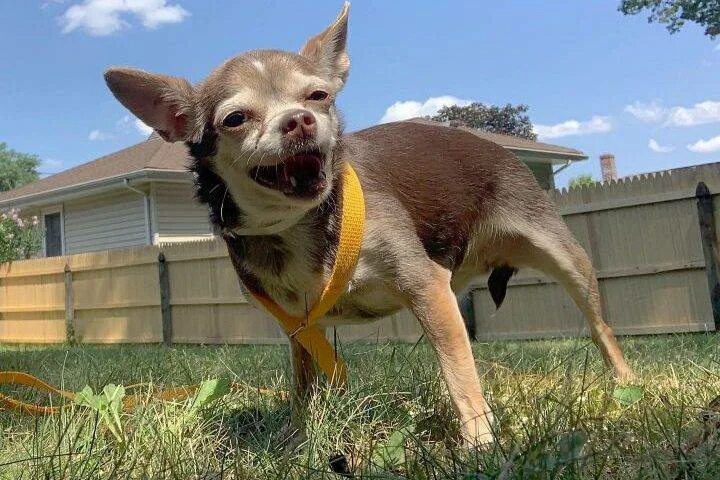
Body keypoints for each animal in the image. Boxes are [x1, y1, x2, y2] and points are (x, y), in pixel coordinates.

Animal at [104, 1, 632, 444]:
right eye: (235, 118)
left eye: (318, 96)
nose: (299, 120)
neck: (299, 224)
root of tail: (496, 146)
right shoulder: (300, 328)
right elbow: (304, 388)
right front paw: (298, 440)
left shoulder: (427, 287)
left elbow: (460, 373)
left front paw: (480, 443)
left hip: (566, 259)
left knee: (601, 328)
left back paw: (625, 384)